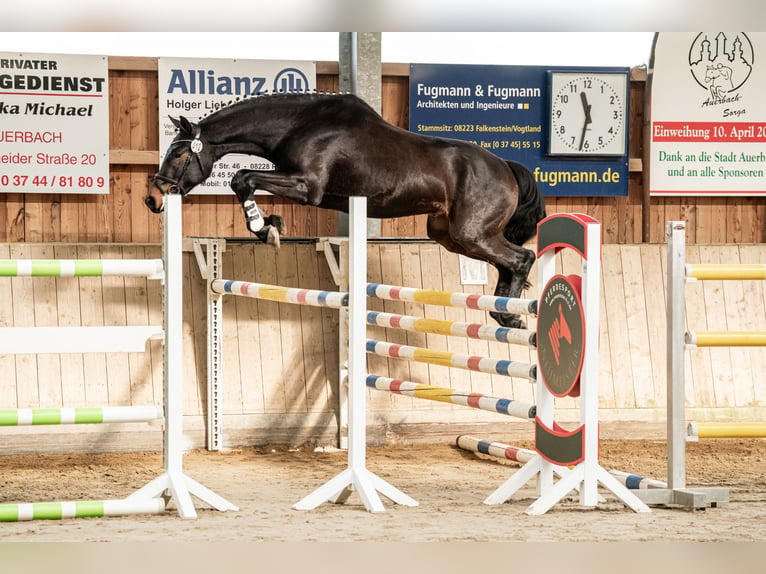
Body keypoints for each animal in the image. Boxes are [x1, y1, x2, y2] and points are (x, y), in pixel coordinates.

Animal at [145, 92, 546, 328]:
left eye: (178, 153)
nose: (154, 198)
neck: (297, 124)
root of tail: (506, 167)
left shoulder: (308, 187)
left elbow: (242, 178)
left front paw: (266, 228)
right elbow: (244, 180)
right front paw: (269, 223)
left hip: (471, 232)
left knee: (522, 257)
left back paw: (511, 316)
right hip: (448, 234)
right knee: (507, 263)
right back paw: (504, 314)